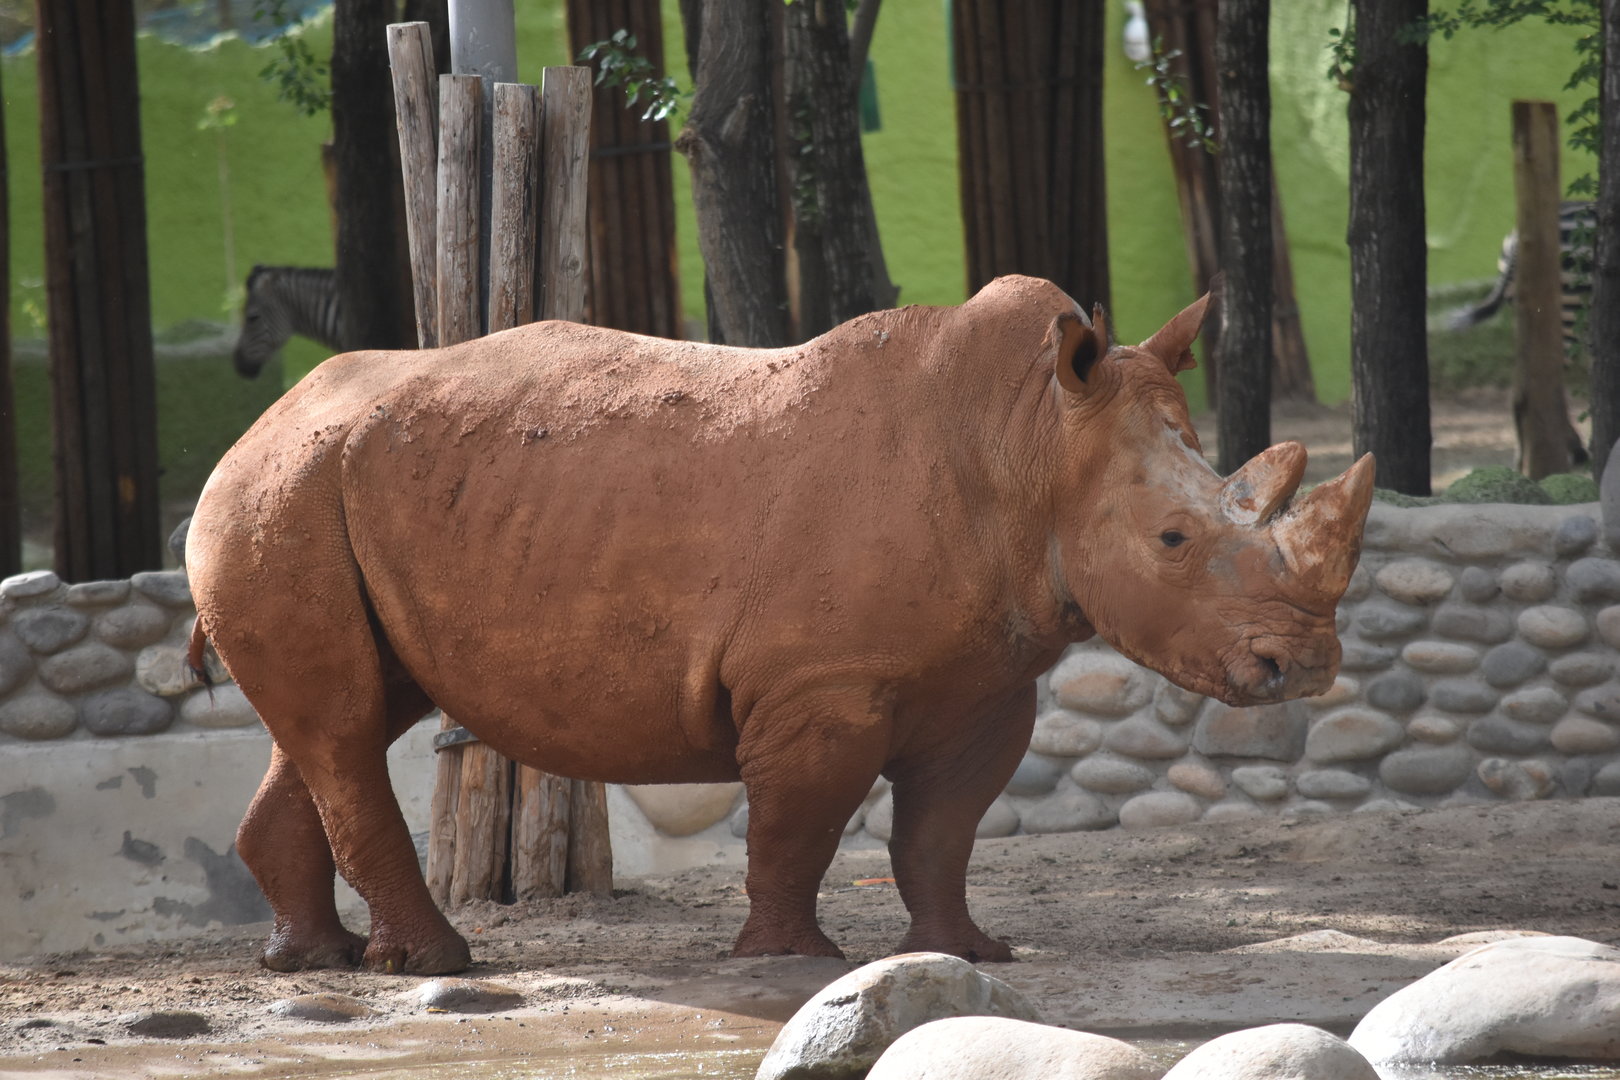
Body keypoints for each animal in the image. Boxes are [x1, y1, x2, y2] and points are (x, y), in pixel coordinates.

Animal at [186, 274, 1373, 975]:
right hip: (281, 494)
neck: (1033, 443)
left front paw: (973, 954)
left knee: (345, 719)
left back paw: (311, 963)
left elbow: (943, 828)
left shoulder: (988, 679)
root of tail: (258, 422)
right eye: (1173, 541)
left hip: (329, 490)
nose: (1309, 665)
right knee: (345, 727)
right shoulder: (819, 688)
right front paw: (793, 965)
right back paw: (438, 967)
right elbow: (799, 824)